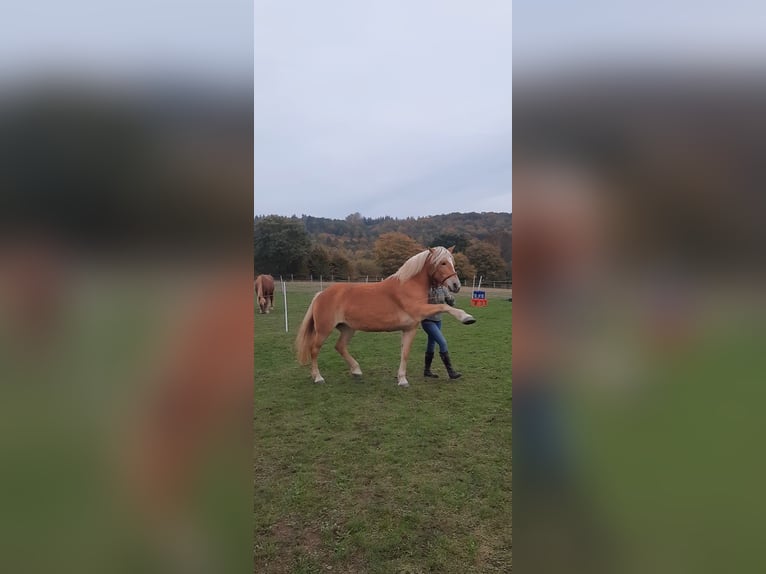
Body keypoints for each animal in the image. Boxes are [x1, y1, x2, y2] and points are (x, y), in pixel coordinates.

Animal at [296, 245, 476, 390]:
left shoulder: (409, 329)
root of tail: (321, 294)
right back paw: (318, 378)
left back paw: (356, 370)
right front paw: (466, 317)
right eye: (442, 263)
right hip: (323, 330)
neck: (409, 285)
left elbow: (405, 353)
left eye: (452, 262)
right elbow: (444, 306)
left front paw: (402, 380)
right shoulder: (419, 310)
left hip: (348, 329)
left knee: (340, 346)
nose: (456, 285)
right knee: (314, 349)